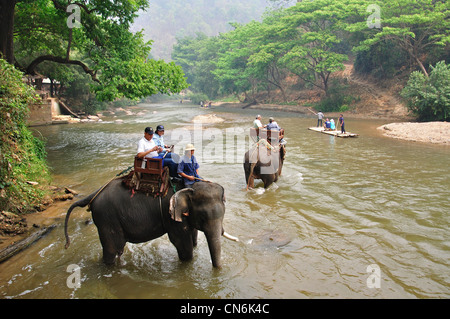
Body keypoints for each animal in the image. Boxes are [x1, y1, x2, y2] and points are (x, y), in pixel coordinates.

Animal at [65, 180, 239, 268]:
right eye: (203, 216)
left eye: (223, 214)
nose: (218, 269)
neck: (189, 186)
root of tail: (94, 194)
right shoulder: (170, 215)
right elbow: (181, 243)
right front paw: (188, 262)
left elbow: (193, 237)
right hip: (106, 219)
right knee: (111, 249)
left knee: (118, 249)